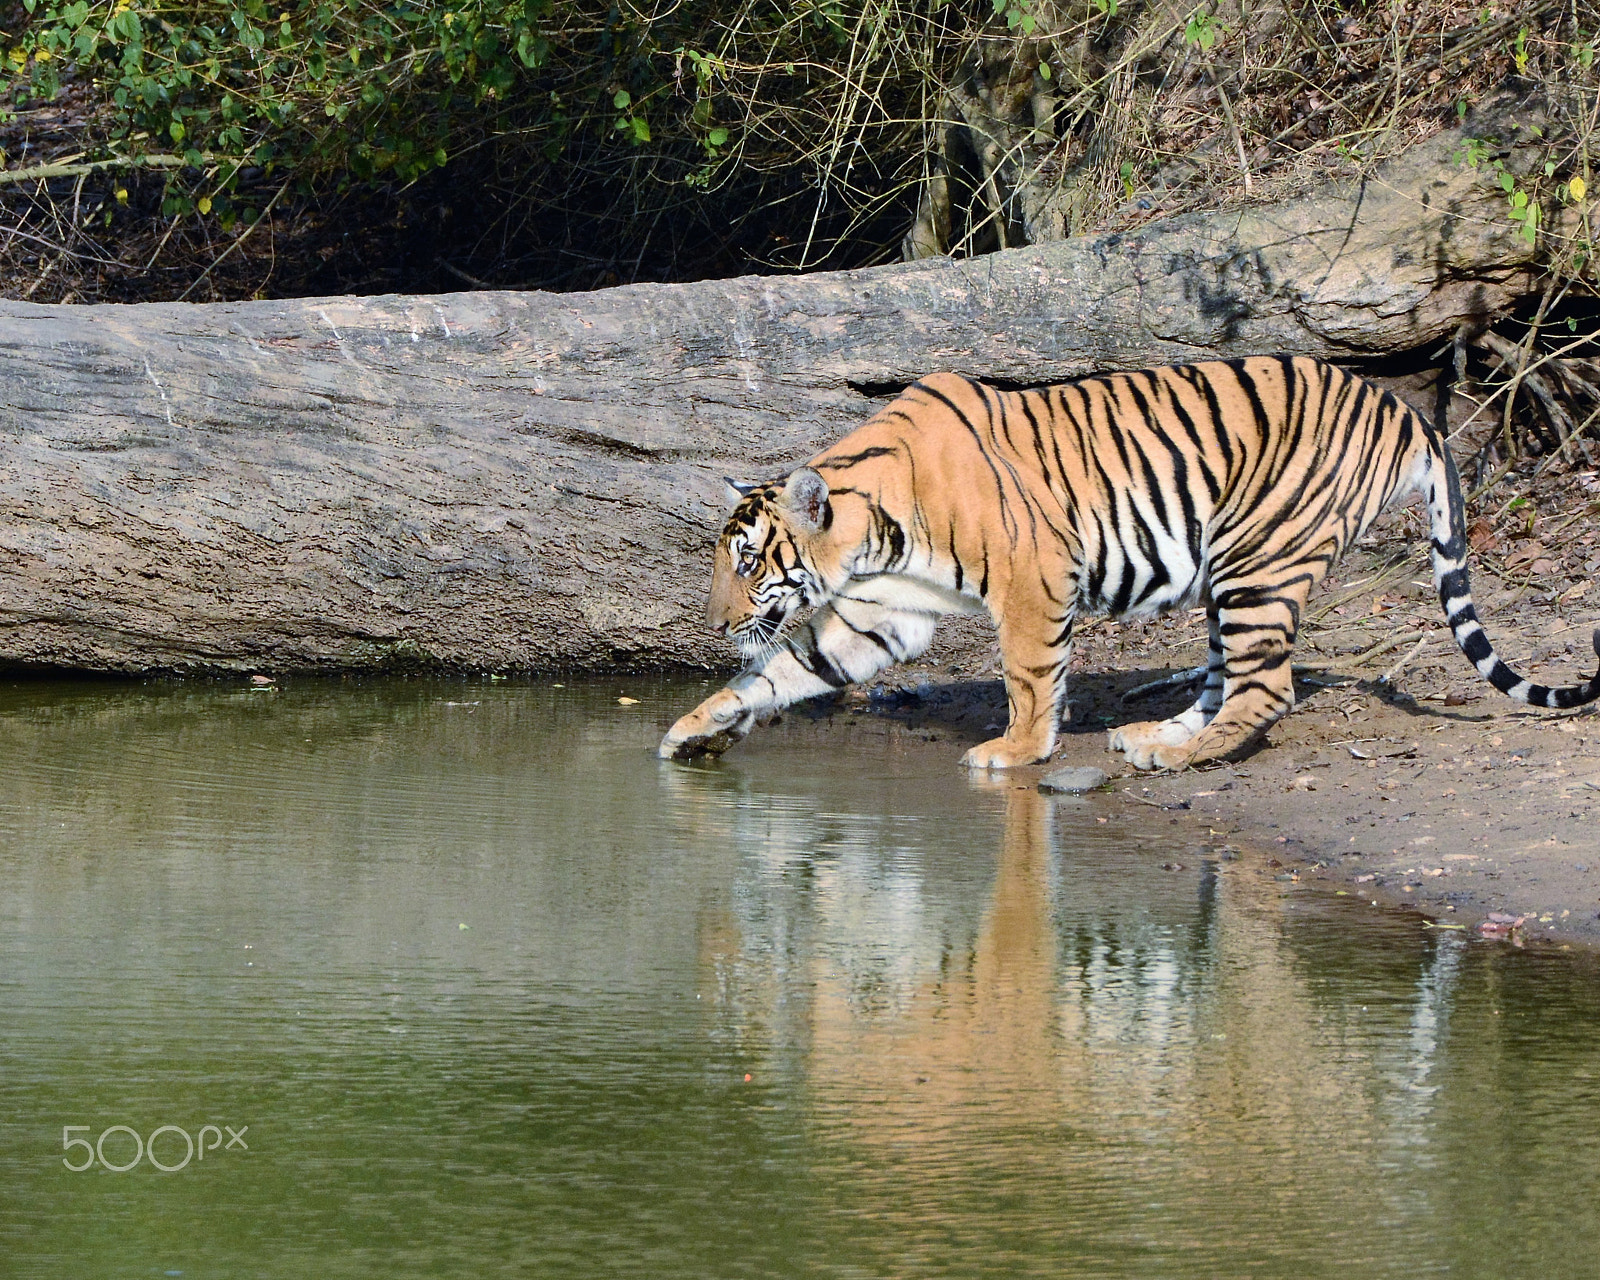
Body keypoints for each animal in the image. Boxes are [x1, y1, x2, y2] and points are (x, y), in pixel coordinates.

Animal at [658, 355, 1600, 771]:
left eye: (748, 562)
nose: (713, 620)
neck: (872, 530)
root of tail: (1402, 409)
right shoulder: (884, 611)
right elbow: (790, 668)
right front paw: (695, 726)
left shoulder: (1034, 580)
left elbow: (1031, 677)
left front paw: (1017, 751)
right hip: (1228, 573)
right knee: (1228, 677)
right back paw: (1159, 733)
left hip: (1259, 556)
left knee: (1269, 686)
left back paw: (1178, 757)